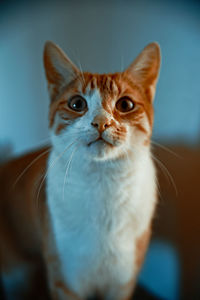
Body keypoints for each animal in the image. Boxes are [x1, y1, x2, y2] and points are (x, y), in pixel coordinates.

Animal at [0, 40, 160, 300]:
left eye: (125, 104)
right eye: (77, 104)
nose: (101, 122)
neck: (104, 185)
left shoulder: (121, 283)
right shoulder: (65, 281)